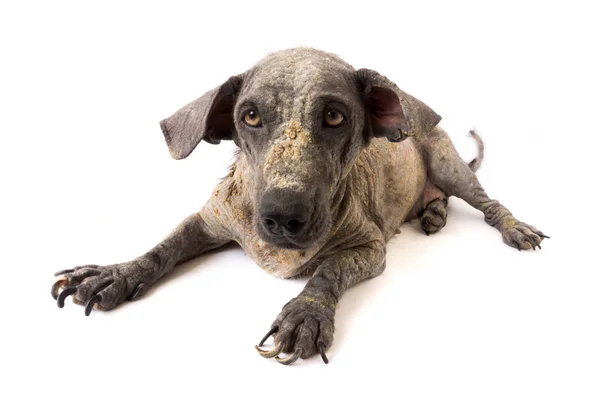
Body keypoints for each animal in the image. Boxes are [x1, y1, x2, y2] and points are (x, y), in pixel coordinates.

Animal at [51, 48, 548, 366]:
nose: (283, 215)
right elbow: (163, 247)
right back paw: (433, 213)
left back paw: (512, 226)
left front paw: (305, 313)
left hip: (451, 168)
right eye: (250, 115)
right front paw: (118, 273)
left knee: (488, 203)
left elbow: (328, 271)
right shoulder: (207, 222)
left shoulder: (369, 249)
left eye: (334, 116)